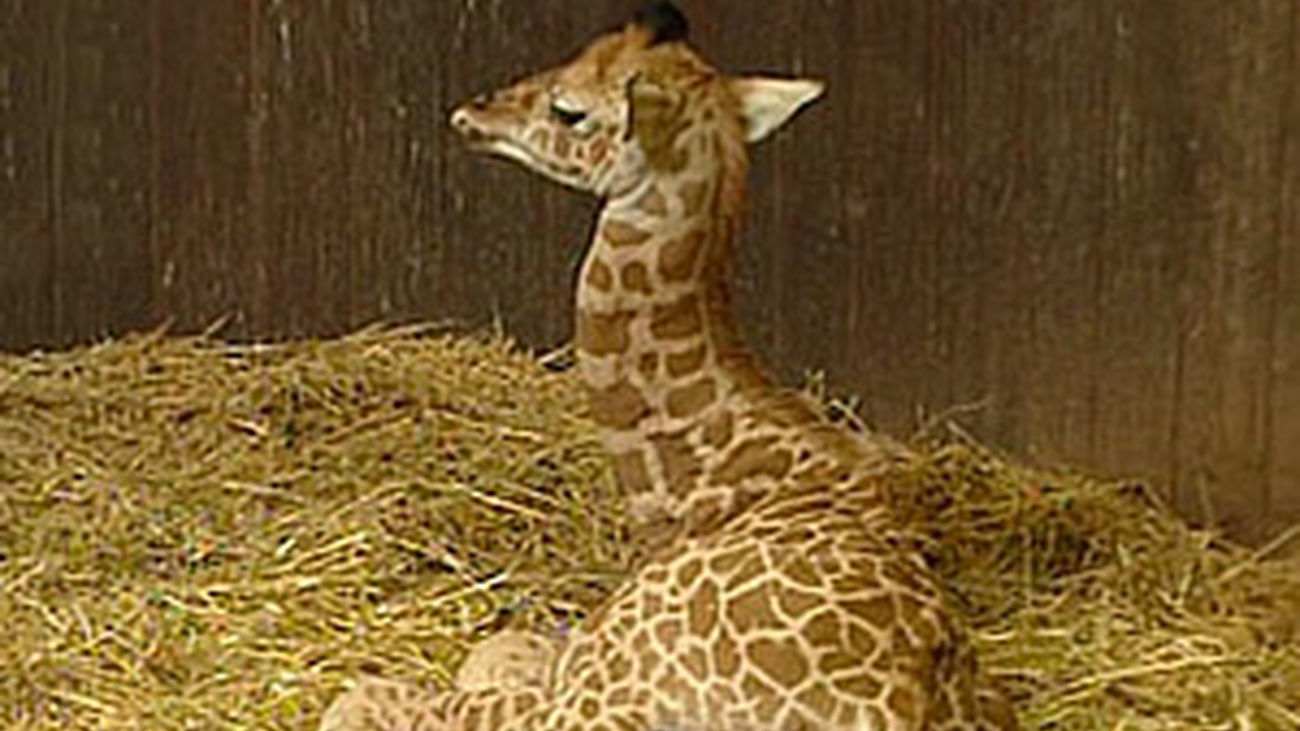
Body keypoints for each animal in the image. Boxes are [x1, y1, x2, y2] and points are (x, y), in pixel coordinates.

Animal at [319, 3, 1018, 729]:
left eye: (569, 110)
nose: (470, 113)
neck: (701, 493)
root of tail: (903, 703)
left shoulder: (590, 691)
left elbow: (388, 689)